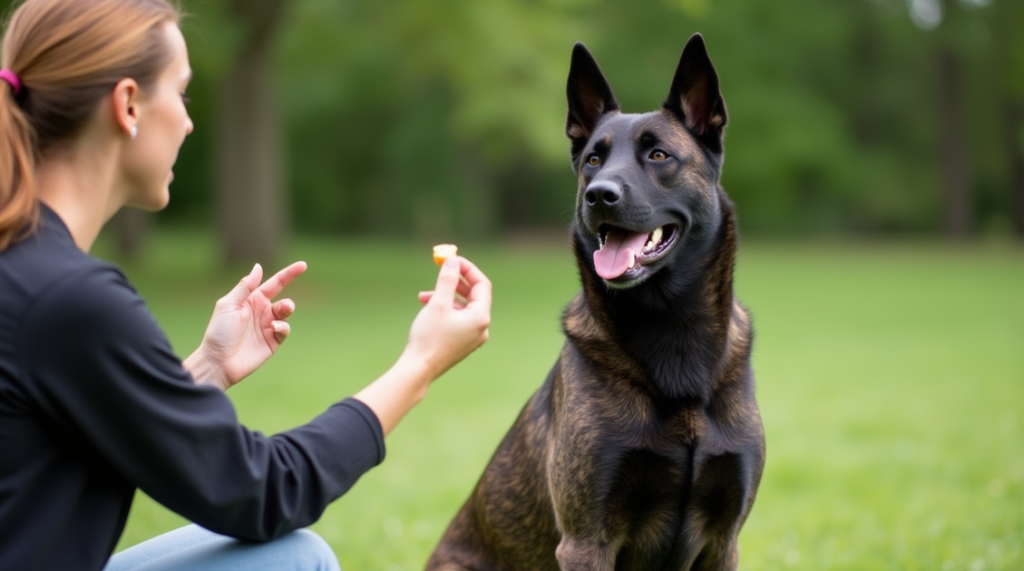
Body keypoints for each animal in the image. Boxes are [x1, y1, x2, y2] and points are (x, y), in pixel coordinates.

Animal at [428, 35, 765, 571]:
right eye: (592, 160)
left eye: (659, 154)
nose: (598, 195)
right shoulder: (587, 538)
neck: (672, 332)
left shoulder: (723, 537)